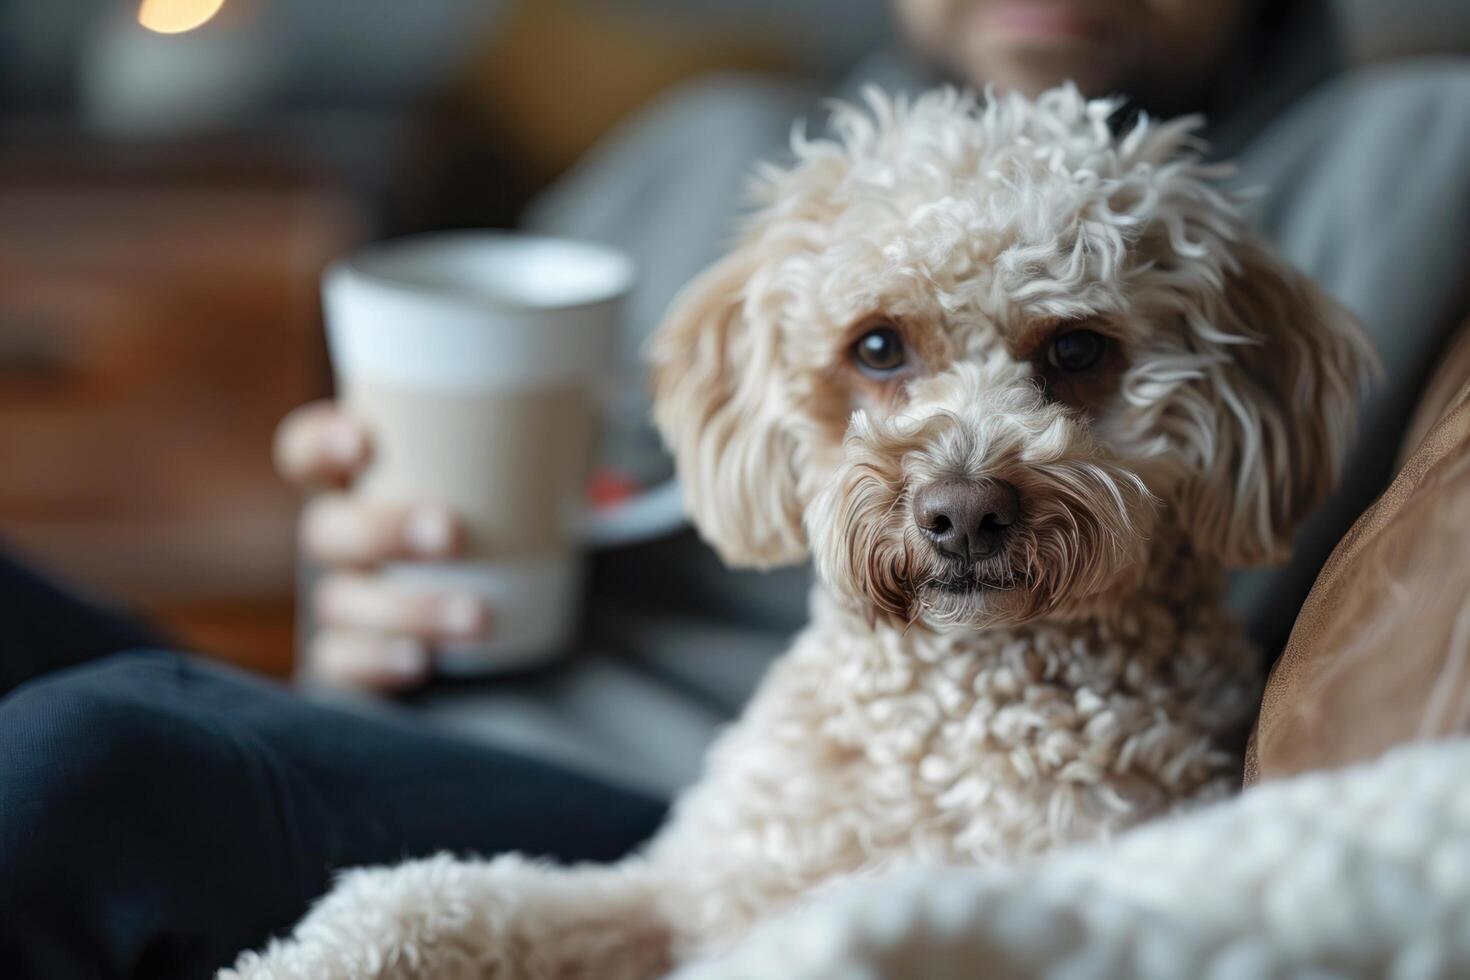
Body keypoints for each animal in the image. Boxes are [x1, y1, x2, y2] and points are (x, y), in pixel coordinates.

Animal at [223, 84, 1370, 980]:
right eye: (878, 345)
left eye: (1079, 349)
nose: (962, 509)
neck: (948, 713)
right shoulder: (683, 891)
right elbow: (444, 894)